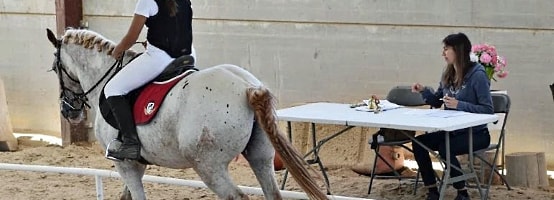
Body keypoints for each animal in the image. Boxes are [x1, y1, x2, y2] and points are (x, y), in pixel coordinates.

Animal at [47, 28, 328, 200]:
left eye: (55, 68)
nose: (67, 111)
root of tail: (246, 87)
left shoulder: (124, 163)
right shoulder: (136, 163)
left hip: (208, 165)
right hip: (260, 155)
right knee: (271, 192)